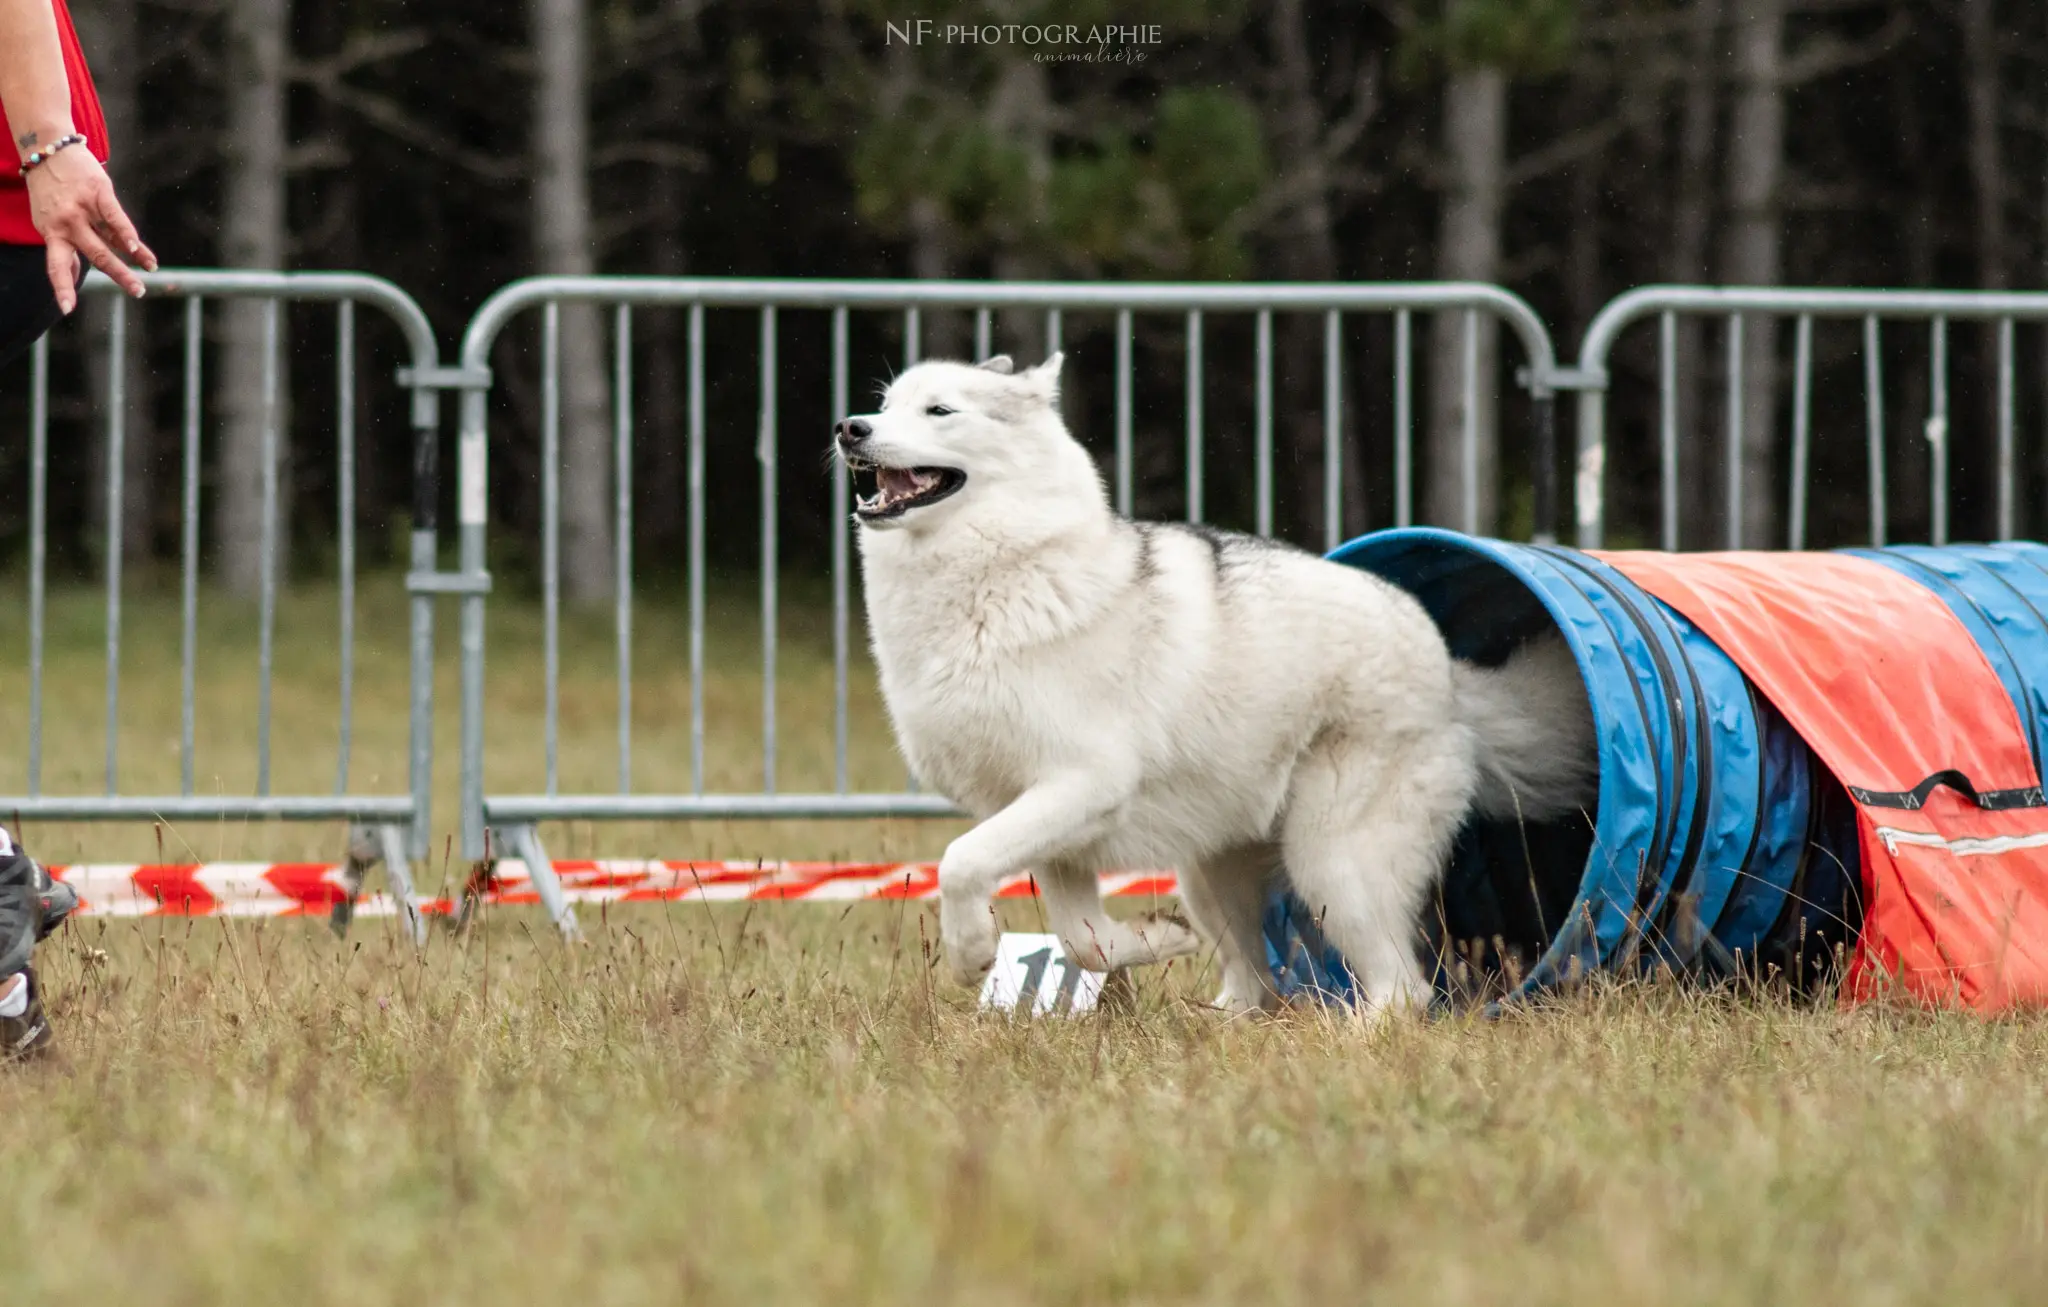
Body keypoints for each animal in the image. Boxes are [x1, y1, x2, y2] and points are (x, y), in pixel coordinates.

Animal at [835, 352, 1597, 1020]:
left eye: (939, 410)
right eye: (885, 404)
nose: (849, 428)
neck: (996, 575)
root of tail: (1445, 668)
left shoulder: (1082, 786)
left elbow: (958, 863)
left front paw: (970, 953)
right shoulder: (1051, 828)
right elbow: (1085, 940)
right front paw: (1155, 939)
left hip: (1332, 867)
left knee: (1403, 990)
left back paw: (1350, 1034)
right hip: (1209, 873)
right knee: (1255, 979)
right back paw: (1218, 1019)